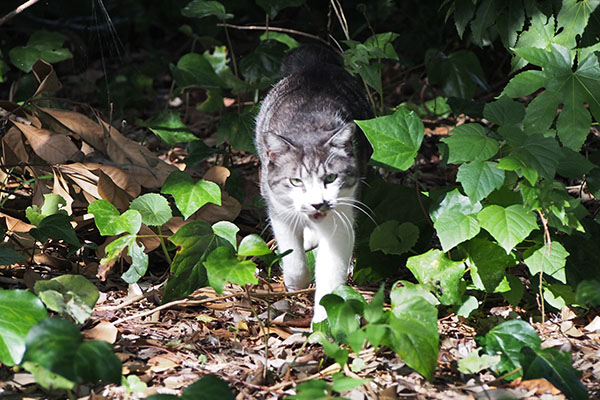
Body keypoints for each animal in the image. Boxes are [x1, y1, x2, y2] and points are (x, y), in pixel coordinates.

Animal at [255, 44, 372, 324]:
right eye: (295, 181)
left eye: (330, 178)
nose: (318, 203)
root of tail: (313, 65)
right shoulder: (278, 208)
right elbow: (294, 259)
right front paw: (296, 283)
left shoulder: (341, 217)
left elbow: (331, 272)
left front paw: (325, 320)